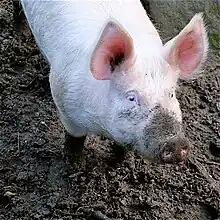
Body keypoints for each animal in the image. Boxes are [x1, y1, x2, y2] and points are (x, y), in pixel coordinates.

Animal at [20, 0, 208, 162]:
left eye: (171, 94)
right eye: (131, 97)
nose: (175, 143)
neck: (100, 125)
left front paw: (117, 162)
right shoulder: (63, 100)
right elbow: (74, 141)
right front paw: (74, 165)